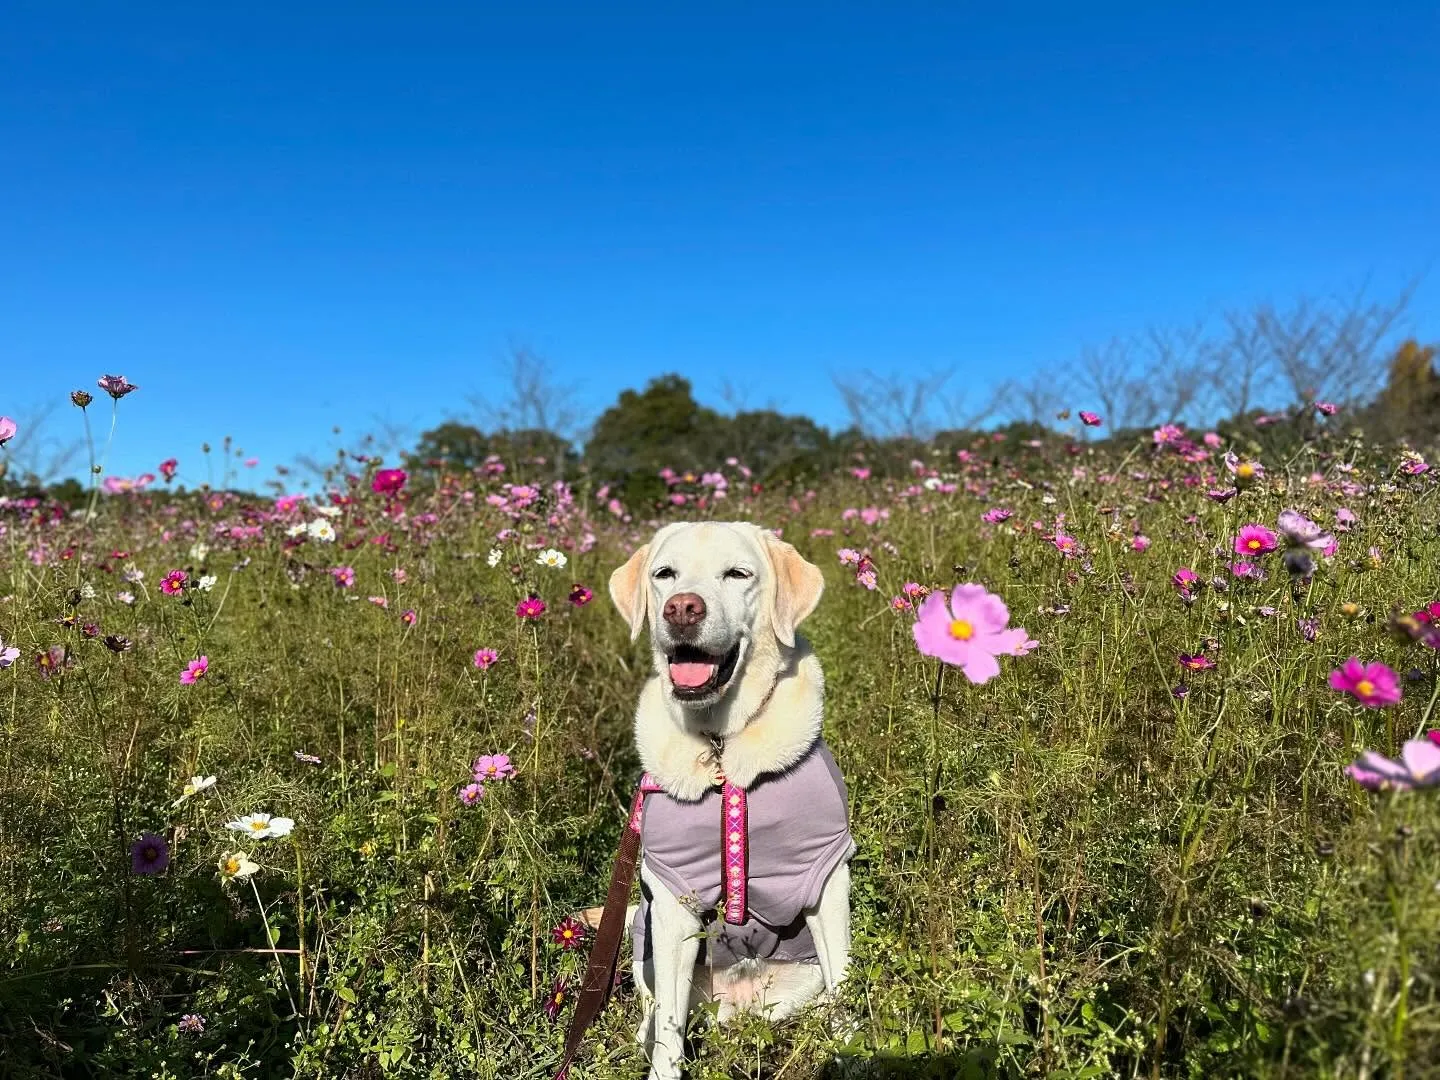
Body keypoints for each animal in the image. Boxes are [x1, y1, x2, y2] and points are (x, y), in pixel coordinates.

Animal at [607, 521, 852, 1077]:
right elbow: (669, 1035)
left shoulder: (827, 876)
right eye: (665, 574)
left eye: (737, 574)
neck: (722, 745)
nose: (682, 608)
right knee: (657, 1011)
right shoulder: (671, 899)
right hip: (644, 938)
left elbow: (847, 986)